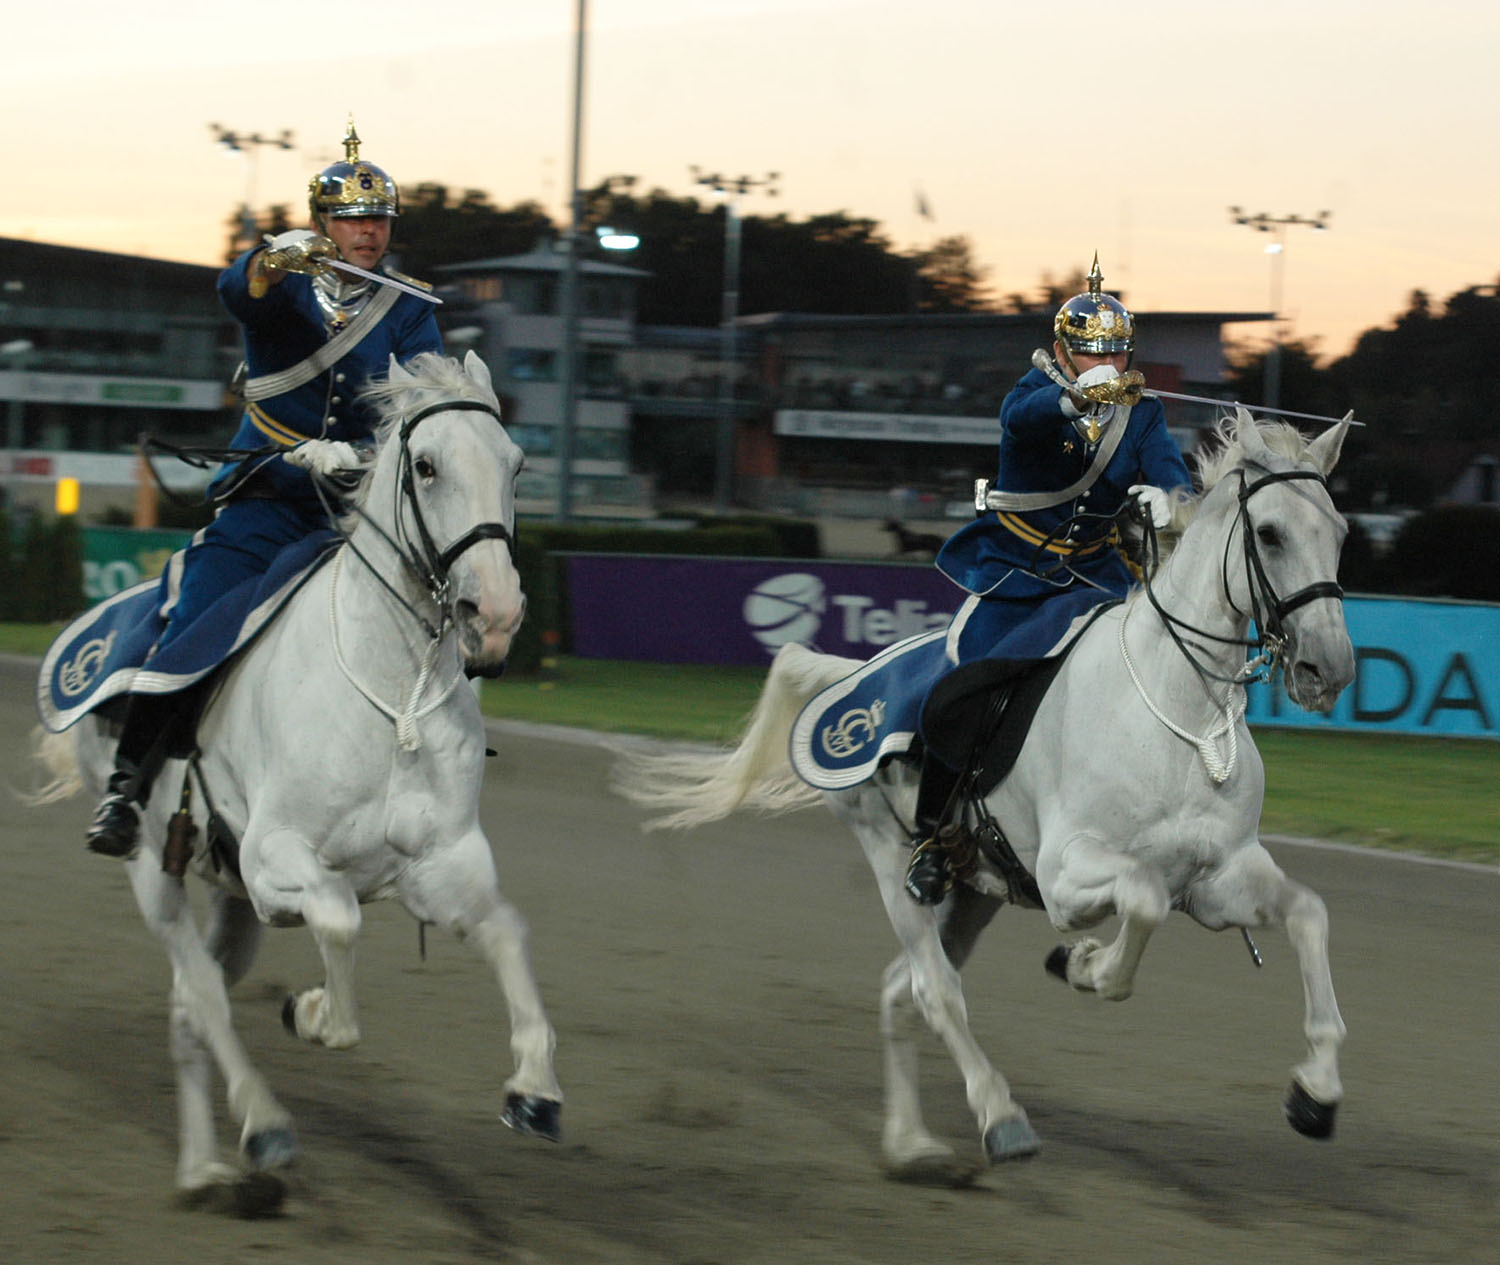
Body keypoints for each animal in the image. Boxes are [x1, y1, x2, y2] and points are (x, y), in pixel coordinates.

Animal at [33, 351, 564, 1212]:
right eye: (426, 465)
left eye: (516, 463)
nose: (497, 612)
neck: (393, 698)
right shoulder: (275, 857)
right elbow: (341, 923)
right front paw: (313, 1011)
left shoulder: (443, 866)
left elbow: (508, 932)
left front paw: (535, 1090)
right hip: (157, 872)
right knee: (202, 993)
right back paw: (261, 1125)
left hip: (232, 902)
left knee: (188, 1006)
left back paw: (202, 1166)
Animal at [621, 414, 1362, 1176]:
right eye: (1269, 533)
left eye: (1339, 531)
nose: (1328, 670)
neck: (1177, 713)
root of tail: (858, 675)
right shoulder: (1068, 875)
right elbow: (1144, 901)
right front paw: (1085, 964)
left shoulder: (1218, 879)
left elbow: (1308, 914)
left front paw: (1315, 1092)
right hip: (892, 861)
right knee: (935, 989)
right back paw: (999, 1116)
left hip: (974, 891)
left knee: (901, 989)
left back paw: (910, 1143)